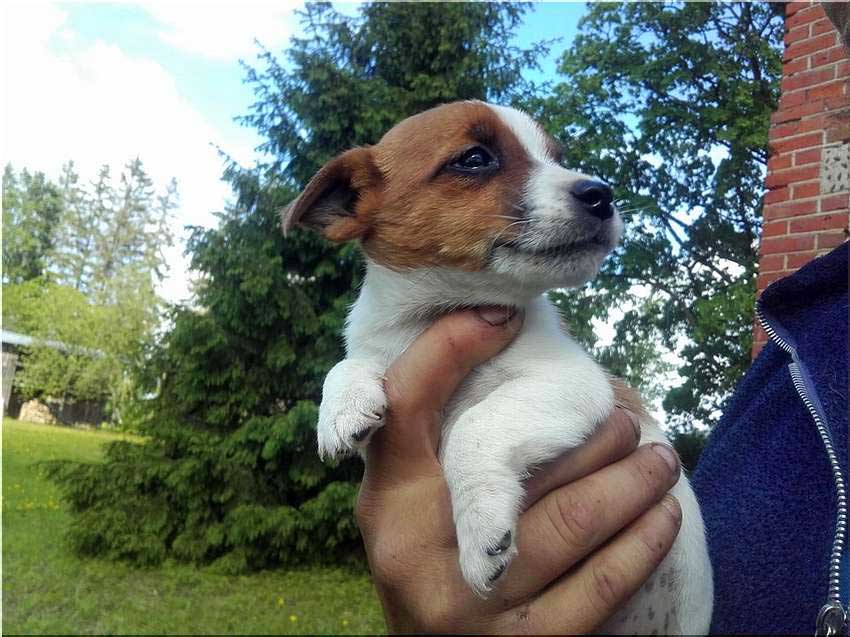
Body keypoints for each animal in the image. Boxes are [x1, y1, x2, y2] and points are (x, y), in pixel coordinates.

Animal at [282, 100, 713, 634]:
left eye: (557, 158)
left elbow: (473, 428)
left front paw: (479, 528)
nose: (601, 194)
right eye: (474, 158)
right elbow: (348, 363)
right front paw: (341, 410)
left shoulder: (573, 382)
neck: (436, 313)